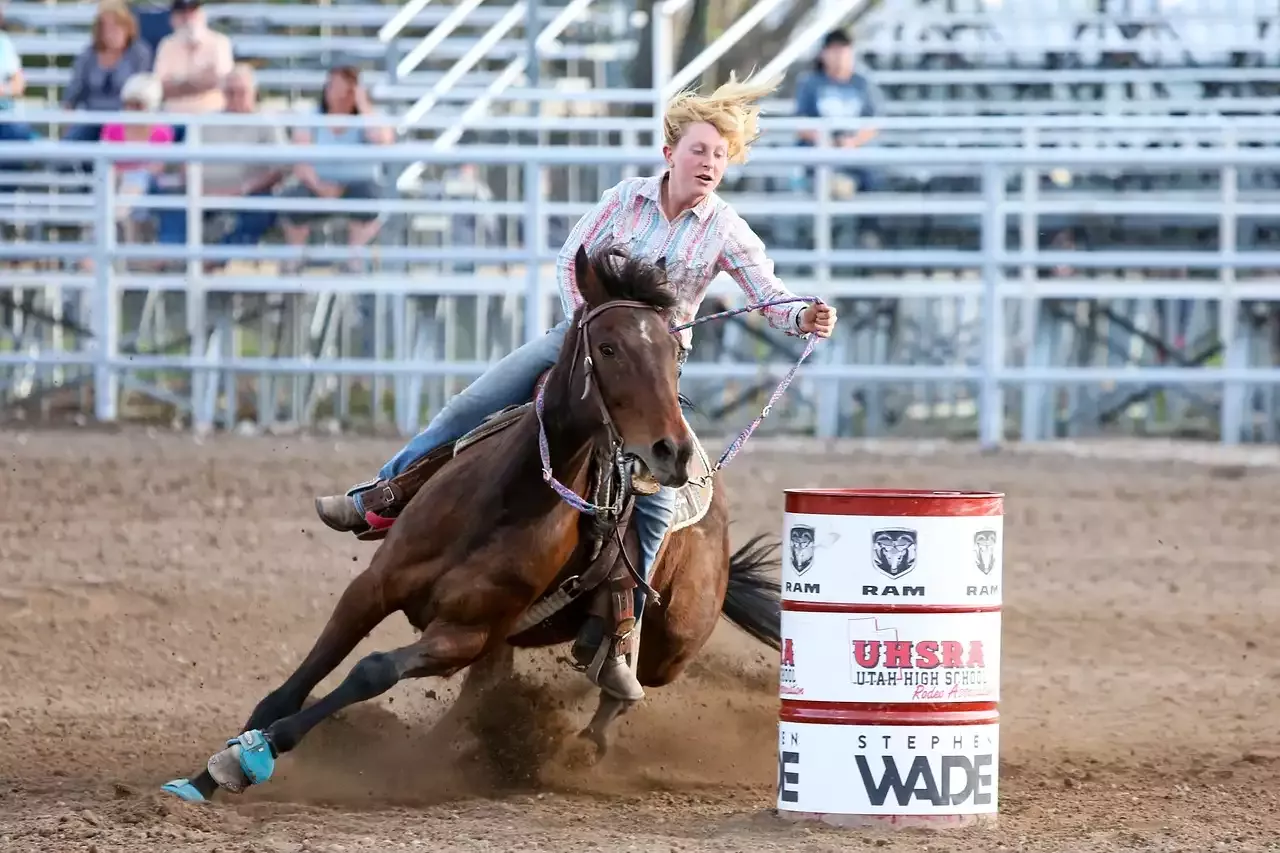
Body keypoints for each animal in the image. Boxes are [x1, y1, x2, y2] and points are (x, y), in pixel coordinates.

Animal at [160, 244, 778, 799]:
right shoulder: (372, 588)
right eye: (608, 347)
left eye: (674, 355)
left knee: (618, 687)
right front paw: (212, 767)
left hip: (668, 647)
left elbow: (371, 672)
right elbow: (304, 677)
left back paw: (583, 741)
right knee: (483, 695)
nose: (671, 451)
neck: (504, 500)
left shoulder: (464, 634)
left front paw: (251, 758)